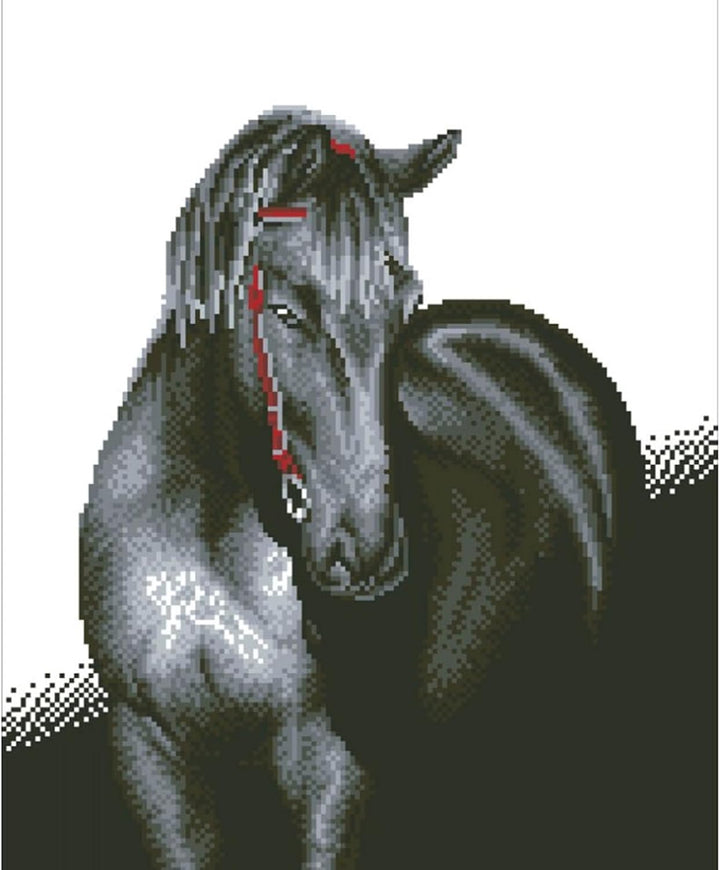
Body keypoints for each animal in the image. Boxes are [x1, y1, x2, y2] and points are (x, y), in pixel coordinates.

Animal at [79, 107, 644, 869]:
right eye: (285, 310)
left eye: (405, 302)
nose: (368, 550)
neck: (209, 541)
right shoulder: (151, 751)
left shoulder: (330, 760)